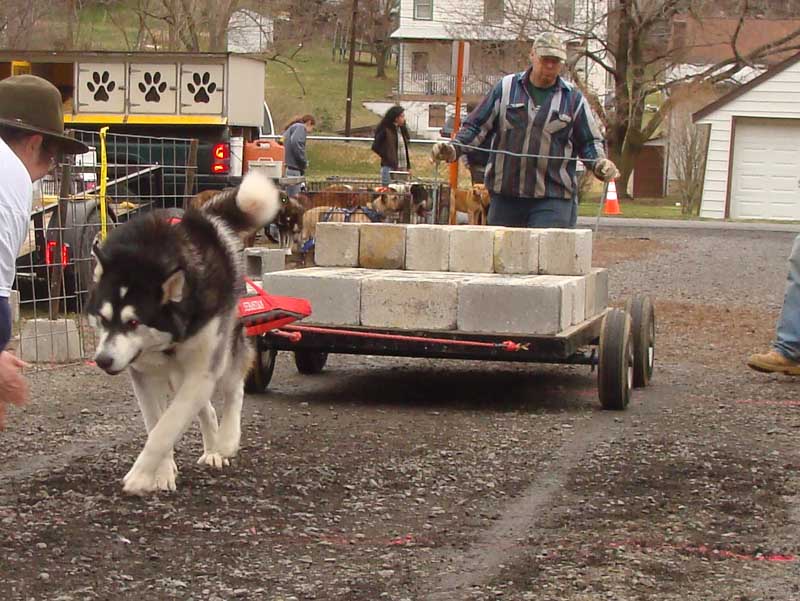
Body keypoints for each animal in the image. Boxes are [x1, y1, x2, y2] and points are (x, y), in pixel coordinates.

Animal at [87, 169, 280, 492]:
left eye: (133, 322)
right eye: (102, 318)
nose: (102, 360)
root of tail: (205, 218)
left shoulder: (202, 370)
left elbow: (166, 427)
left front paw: (139, 476)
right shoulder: (144, 374)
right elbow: (157, 422)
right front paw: (161, 473)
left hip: (222, 352)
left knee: (234, 388)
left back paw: (226, 441)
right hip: (178, 375)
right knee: (206, 408)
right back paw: (212, 449)